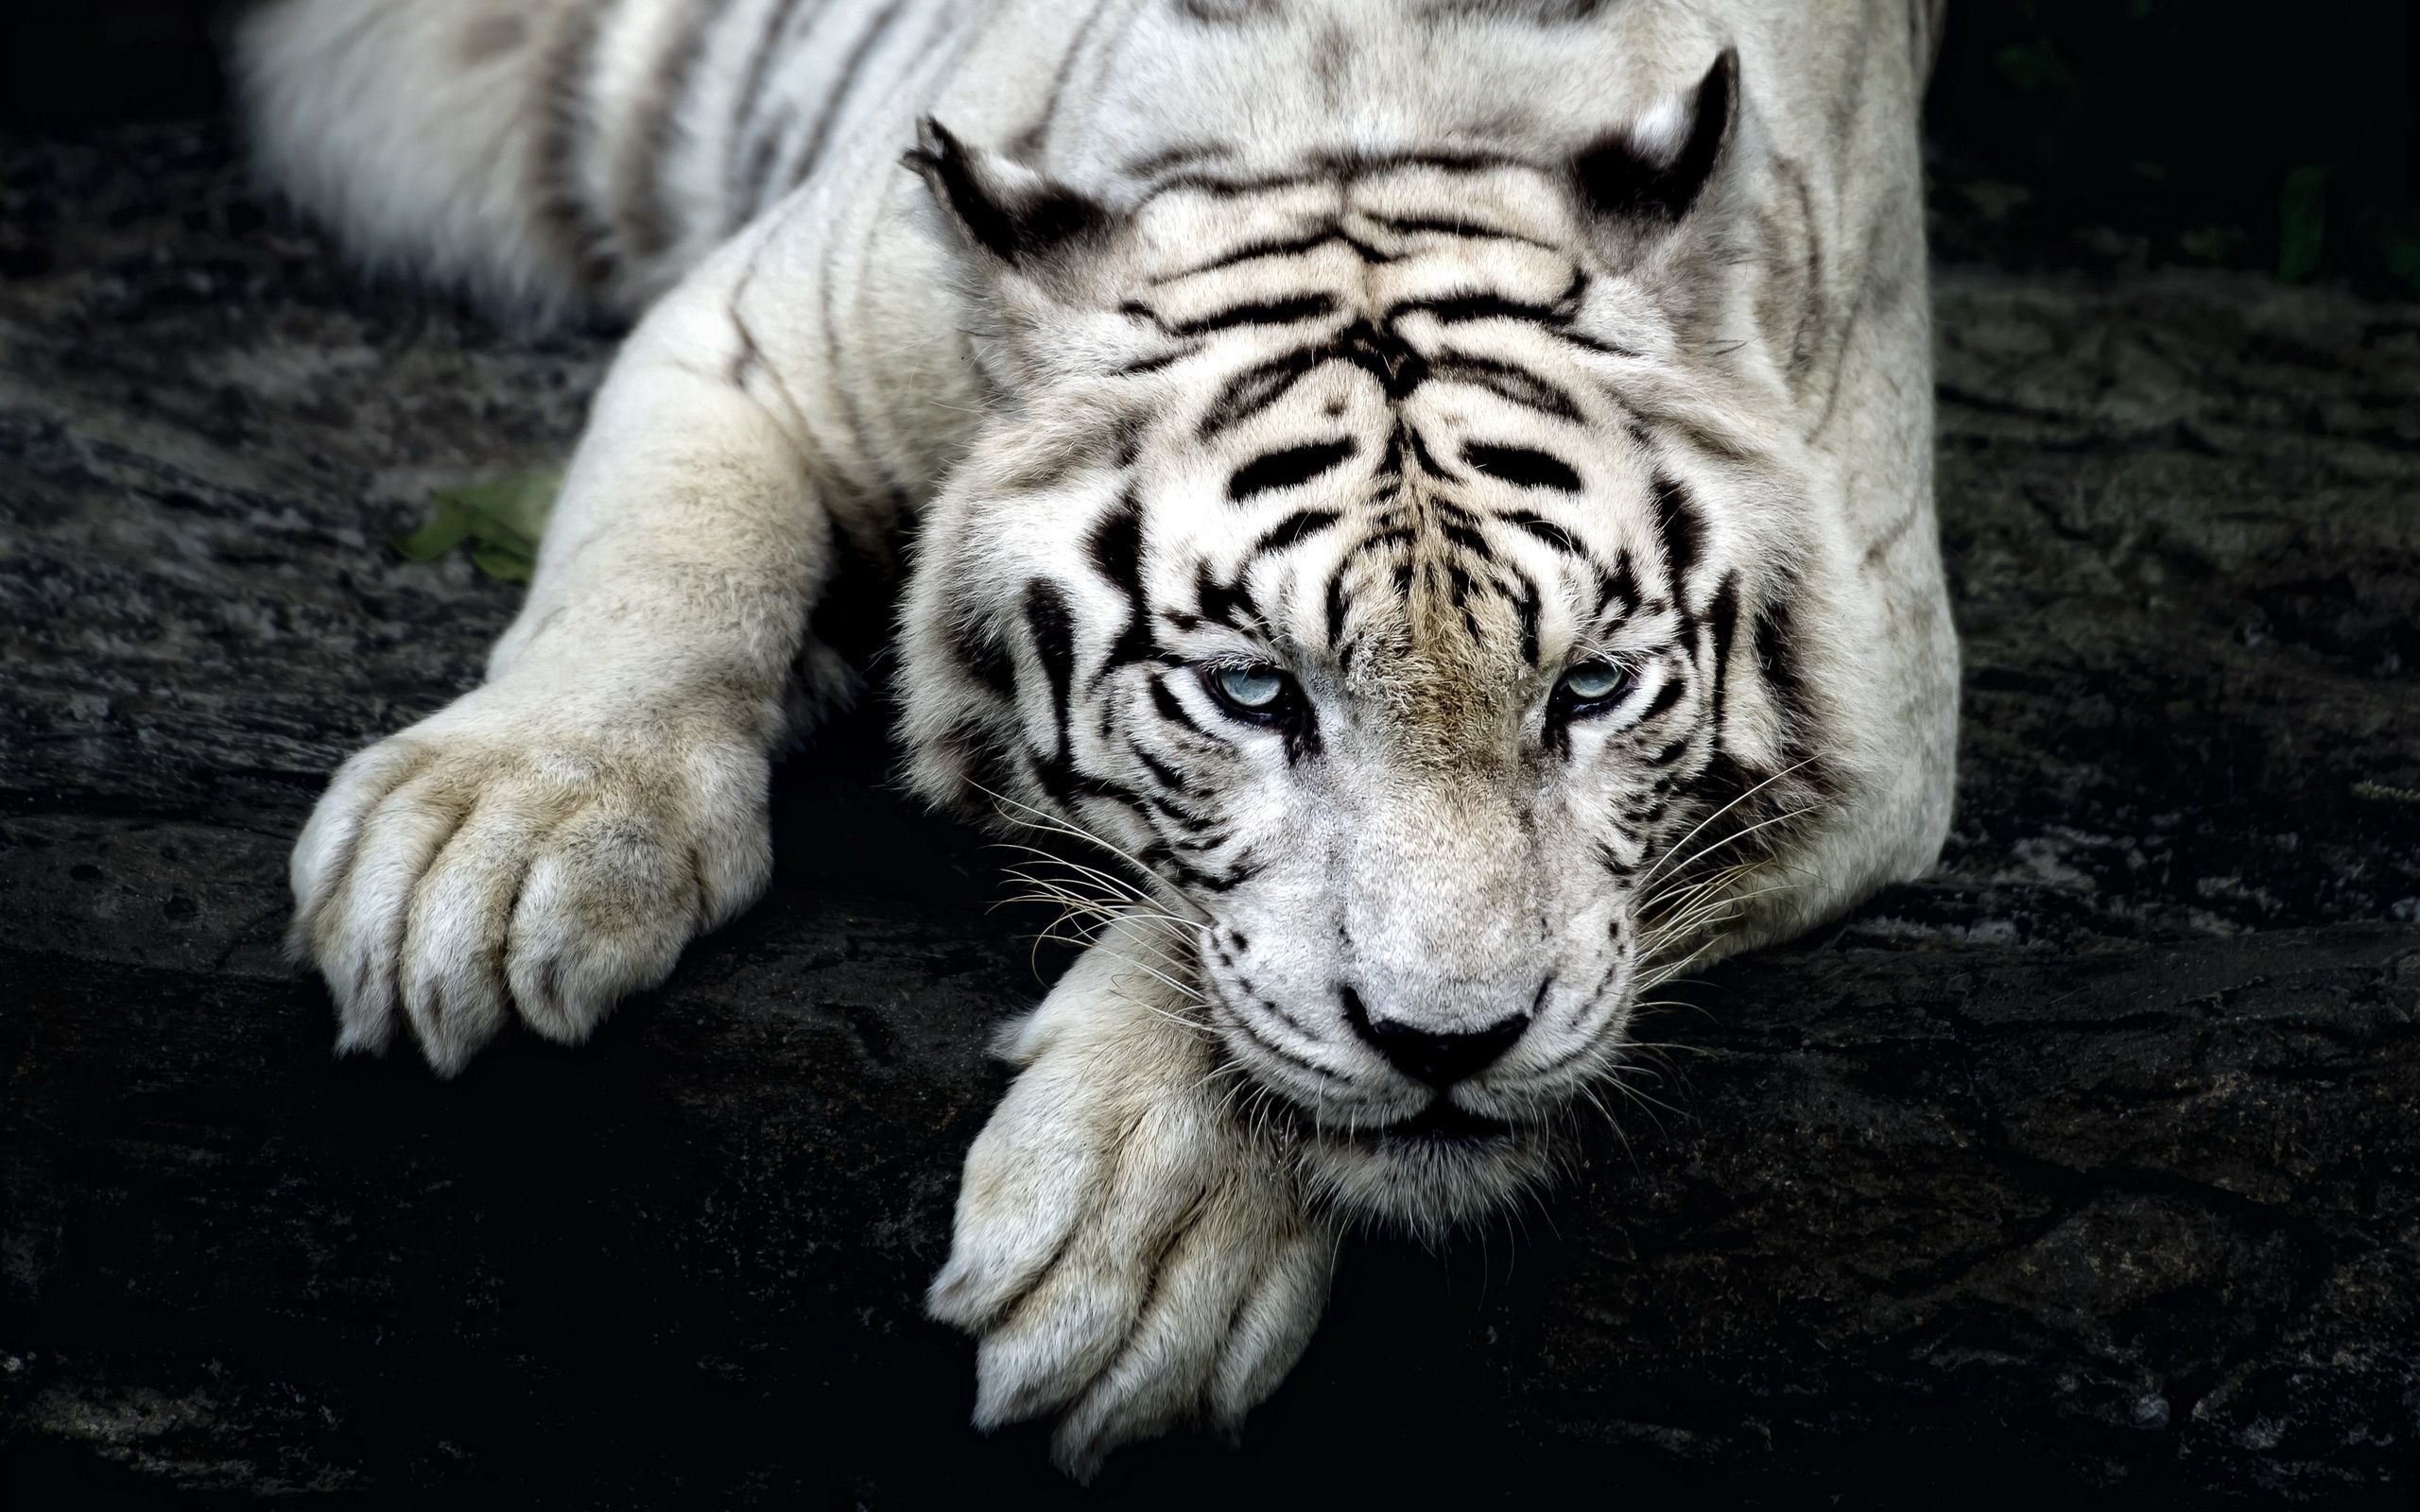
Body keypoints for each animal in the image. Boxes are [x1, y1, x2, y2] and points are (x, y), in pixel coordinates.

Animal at [235, 0, 1955, 1470]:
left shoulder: (1882, 711)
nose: (1451, 1048)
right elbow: (659, 564)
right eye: (1253, 691)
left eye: (1589, 690)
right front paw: (486, 851)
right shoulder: (754, 330)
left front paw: (1137, 1237)